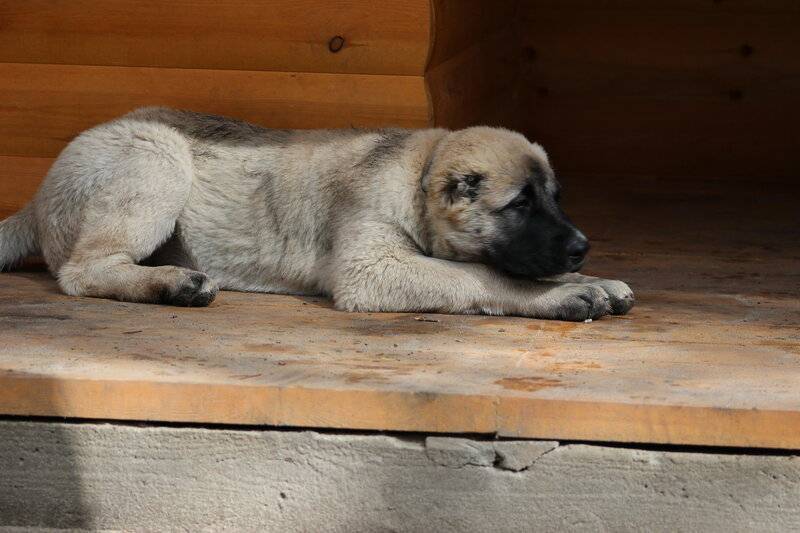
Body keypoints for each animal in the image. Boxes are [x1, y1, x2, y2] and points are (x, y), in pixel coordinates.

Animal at [0, 106, 636, 318]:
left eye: (555, 197)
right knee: (83, 272)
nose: (581, 247)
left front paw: (592, 278)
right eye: (519, 204)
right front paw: (563, 293)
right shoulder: (372, 268)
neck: (417, 175)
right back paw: (173, 283)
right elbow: (480, 274)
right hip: (156, 159)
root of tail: (36, 197)